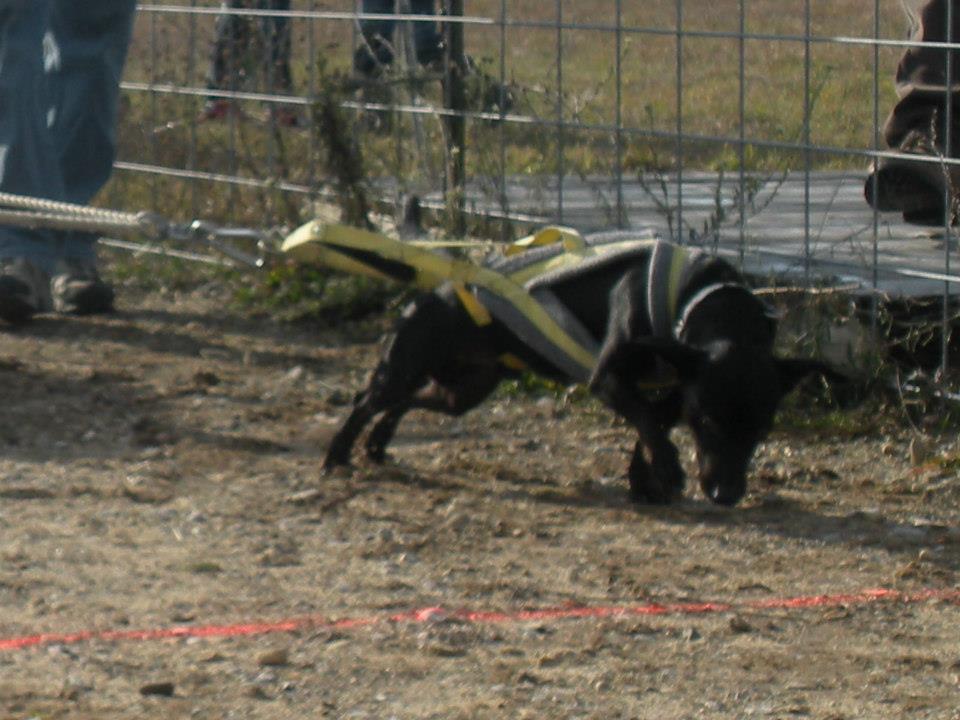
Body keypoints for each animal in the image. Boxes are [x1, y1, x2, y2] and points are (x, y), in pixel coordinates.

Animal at [324, 231, 840, 506]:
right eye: (709, 422)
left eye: (762, 430)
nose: (726, 494)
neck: (698, 297)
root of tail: (434, 291)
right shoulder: (609, 377)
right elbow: (648, 421)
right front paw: (668, 472)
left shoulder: (677, 386)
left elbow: (652, 426)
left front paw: (644, 481)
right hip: (406, 365)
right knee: (367, 400)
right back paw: (338, 454)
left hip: (464, 391)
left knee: (407, 402)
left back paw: (378, 443)